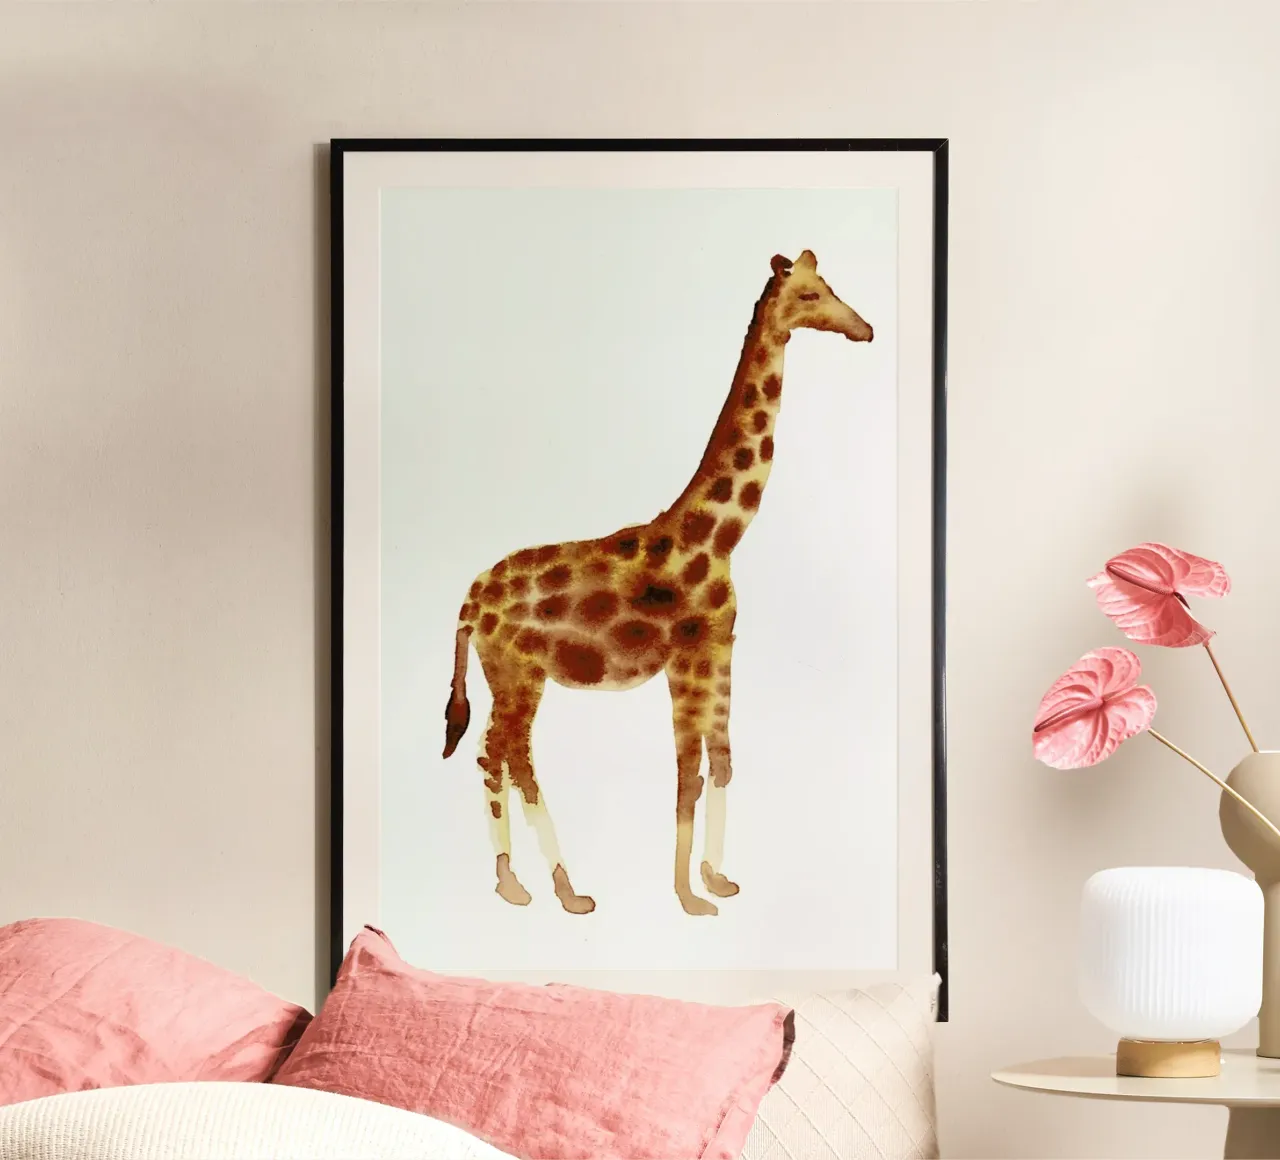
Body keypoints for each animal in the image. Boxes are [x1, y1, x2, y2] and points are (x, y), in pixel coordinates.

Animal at [441, 249, 873, 917]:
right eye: (810, 295)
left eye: (826, 286)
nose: (865, 328)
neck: (720, 537)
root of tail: (467, 602)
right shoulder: (686, 658)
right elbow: (686, 773)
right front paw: (688, 898)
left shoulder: (719, 648)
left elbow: (720, 761)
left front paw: (717, 880)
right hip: (516, 674)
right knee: (505, 756)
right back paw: (549, 888)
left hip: (511, 675)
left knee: (504, 757)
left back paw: (533, 884)